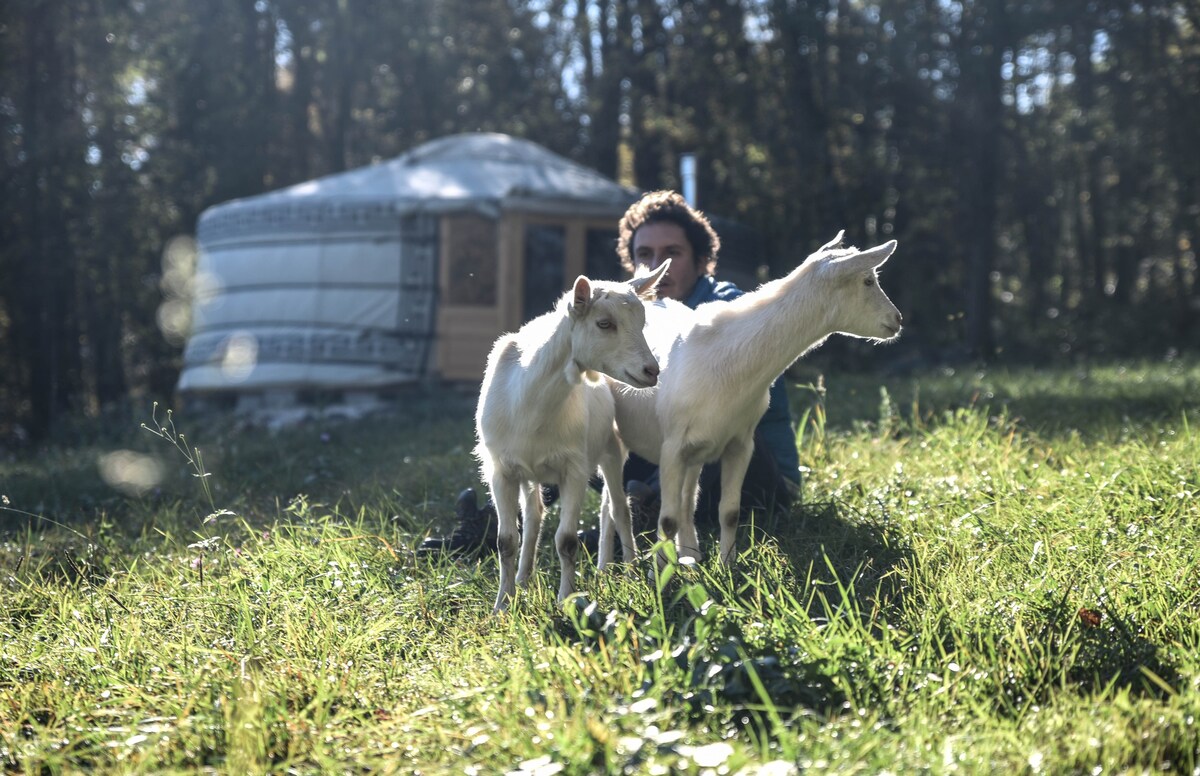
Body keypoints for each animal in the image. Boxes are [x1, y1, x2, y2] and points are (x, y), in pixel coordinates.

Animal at [475, 262, 667, 614]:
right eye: (604, 324)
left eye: (642, 322)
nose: (651, 371)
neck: (531, 403)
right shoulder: (500, 468)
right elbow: (506, 540)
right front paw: (502, 607)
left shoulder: (574, 467)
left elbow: (566, 540)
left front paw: (567, 602)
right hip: (530, 470)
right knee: (535, 515)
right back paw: (527, 580)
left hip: (611, 449)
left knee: (618, 509)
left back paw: (628, 571)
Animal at [609, 230, 902, 563]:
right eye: (867, 280)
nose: (897, 320)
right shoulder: (671, 447)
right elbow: (666, 520)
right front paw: (660, 574)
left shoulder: (739, 443)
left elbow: (729, 513)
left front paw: (727, 566)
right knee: (618, 506)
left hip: (696, 454)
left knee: (686, 502)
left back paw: (690, 558)